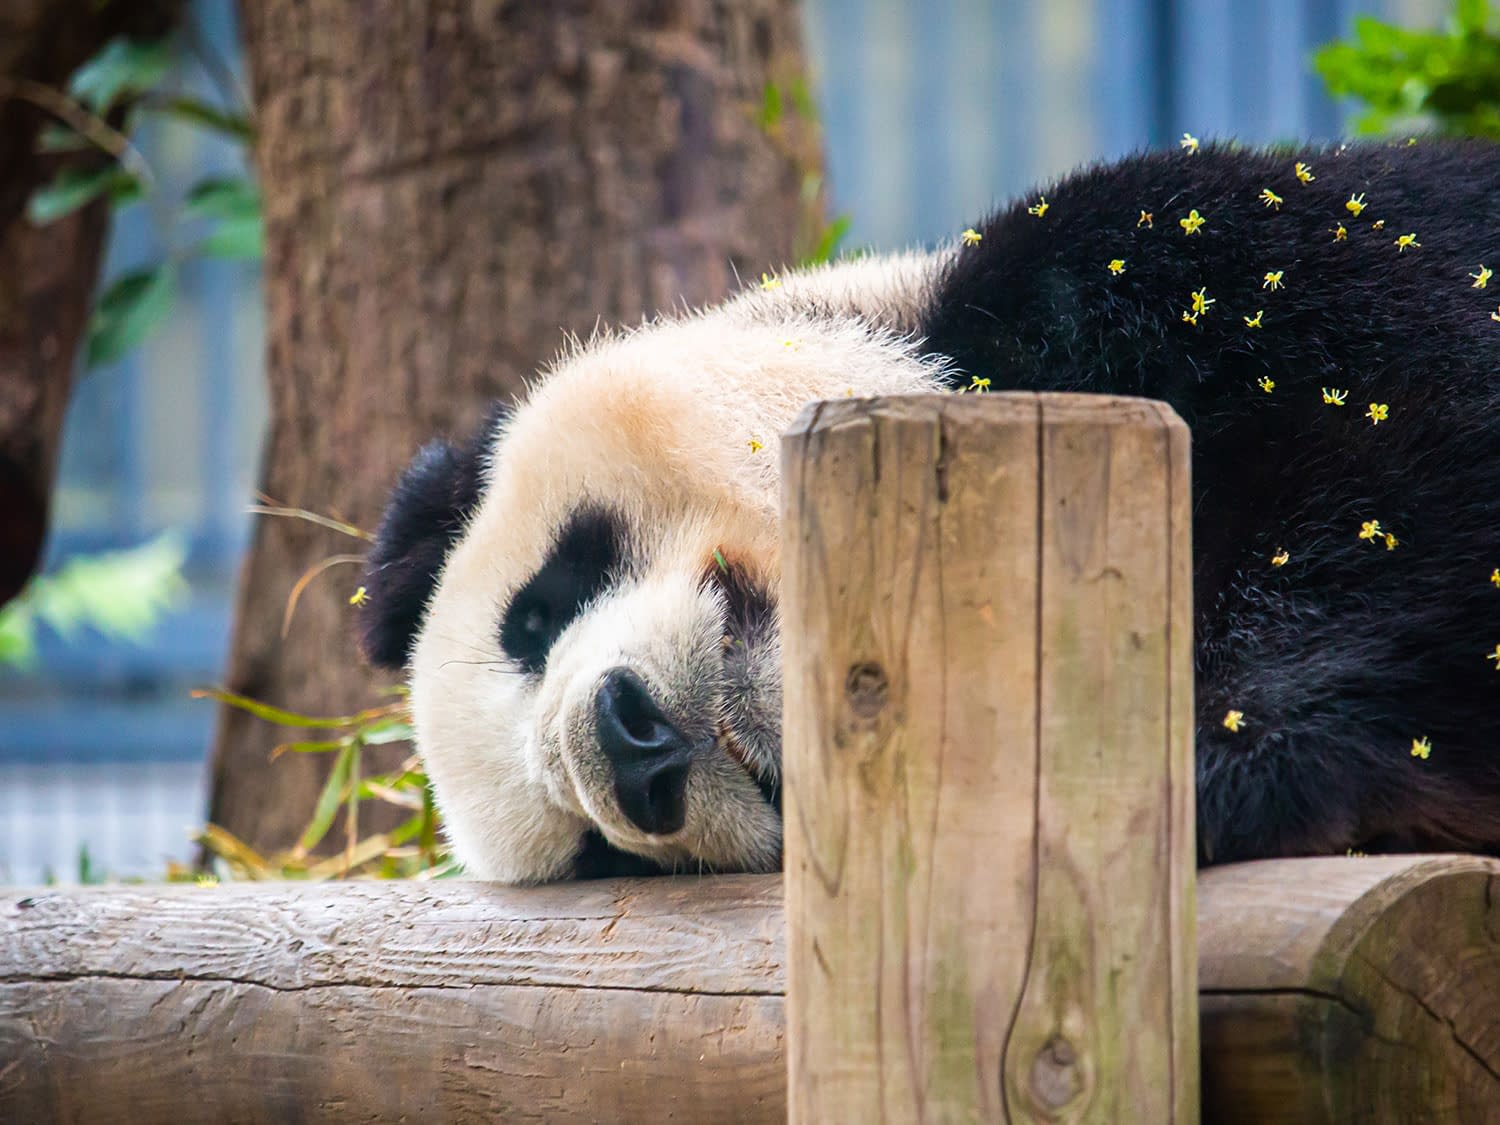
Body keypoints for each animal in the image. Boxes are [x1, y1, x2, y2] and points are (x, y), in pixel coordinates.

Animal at [360, 140, 1500, 883]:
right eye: (597, 854)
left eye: (540, 608)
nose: (630, 749)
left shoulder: (1181, 266)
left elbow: (1404, 458)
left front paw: (1206, 753)